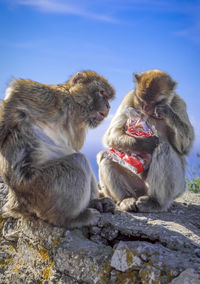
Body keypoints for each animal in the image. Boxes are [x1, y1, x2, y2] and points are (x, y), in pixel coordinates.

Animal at [0, 71, 115, 229]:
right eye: (101, 92)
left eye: (107, 97)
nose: (108, 106)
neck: (73, 108)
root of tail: (20, 205)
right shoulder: (50, 97)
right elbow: (16, 91)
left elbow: (75, 146)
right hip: (40, 189)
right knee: (78, 160)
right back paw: (70, 219)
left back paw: (95, 202)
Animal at [97, 70, 195, 212]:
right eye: (142, 100)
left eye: (154, 102)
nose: (145, 109)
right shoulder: (129, 98)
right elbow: (111, 134)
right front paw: (147, 143)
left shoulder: (179, 104)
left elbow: (184, 148)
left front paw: (167, 112)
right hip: (137, 188)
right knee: (106, 157)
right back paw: (126, 199)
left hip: (178, 187)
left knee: (164, 149)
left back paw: (155, 202)